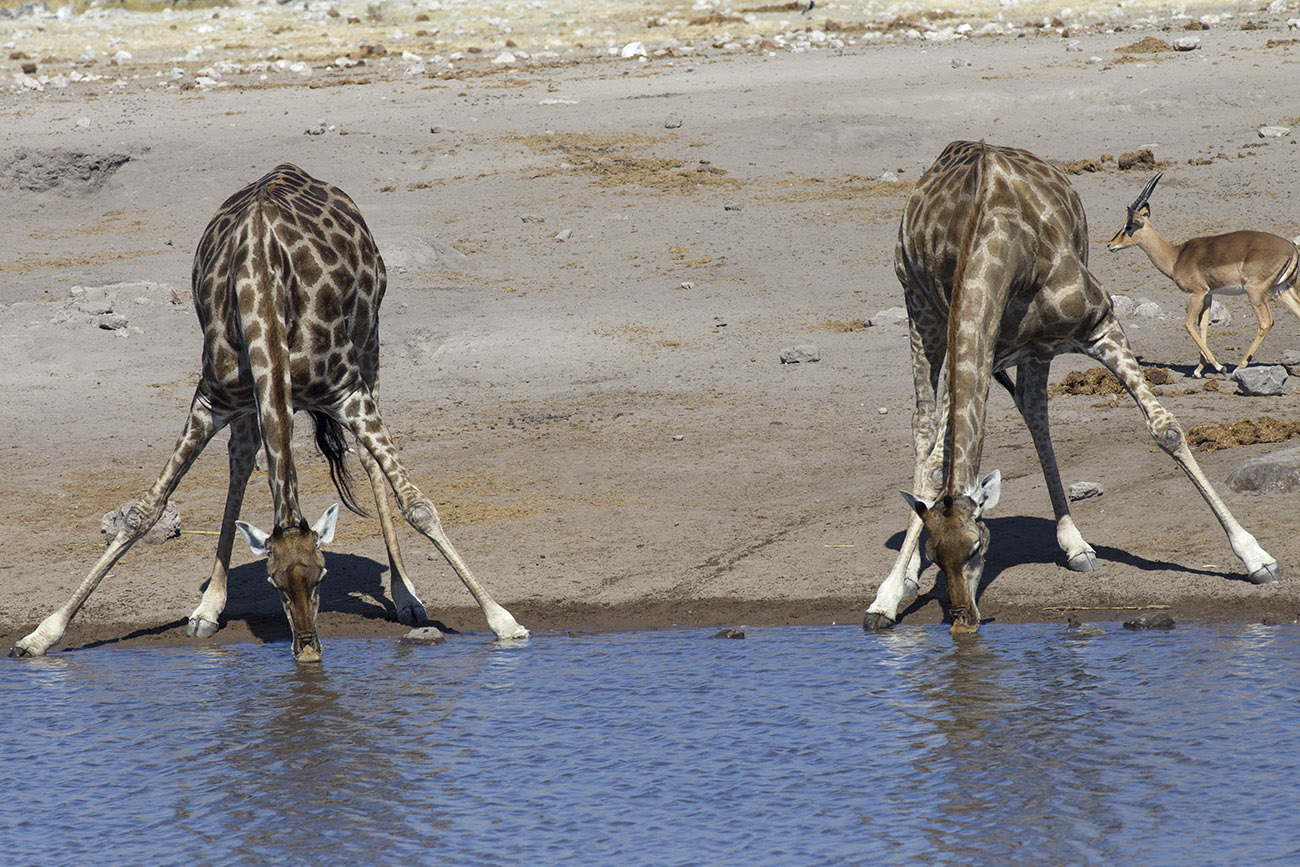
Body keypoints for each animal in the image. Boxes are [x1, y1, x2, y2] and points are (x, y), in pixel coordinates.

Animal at [10, 163, 528, 662]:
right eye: (273, 581)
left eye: (322, 574)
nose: (308, 651)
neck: (262, 288)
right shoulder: (212, 399)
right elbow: (143, 512)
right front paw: (40, 636)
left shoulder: (347, 391)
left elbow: (418, 504)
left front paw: (504, 621)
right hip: (254, 402)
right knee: (242, 460)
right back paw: (208, 607)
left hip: (370, 343)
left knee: (367, 461)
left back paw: (406, 597)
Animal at [862, 141, 1279, 634]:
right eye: (935, 553)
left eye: (979, 546)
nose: (963, 621)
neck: (1001, 245)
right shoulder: (983, 346)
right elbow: (933, 466)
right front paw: (888, 595)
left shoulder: (1101, 326)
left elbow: (1166, 429)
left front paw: (1256, 557)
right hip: (921, 308)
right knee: (927, 430)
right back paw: (907, 576)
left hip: (1032, 350)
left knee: (1033, 411)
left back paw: (1075, 543)